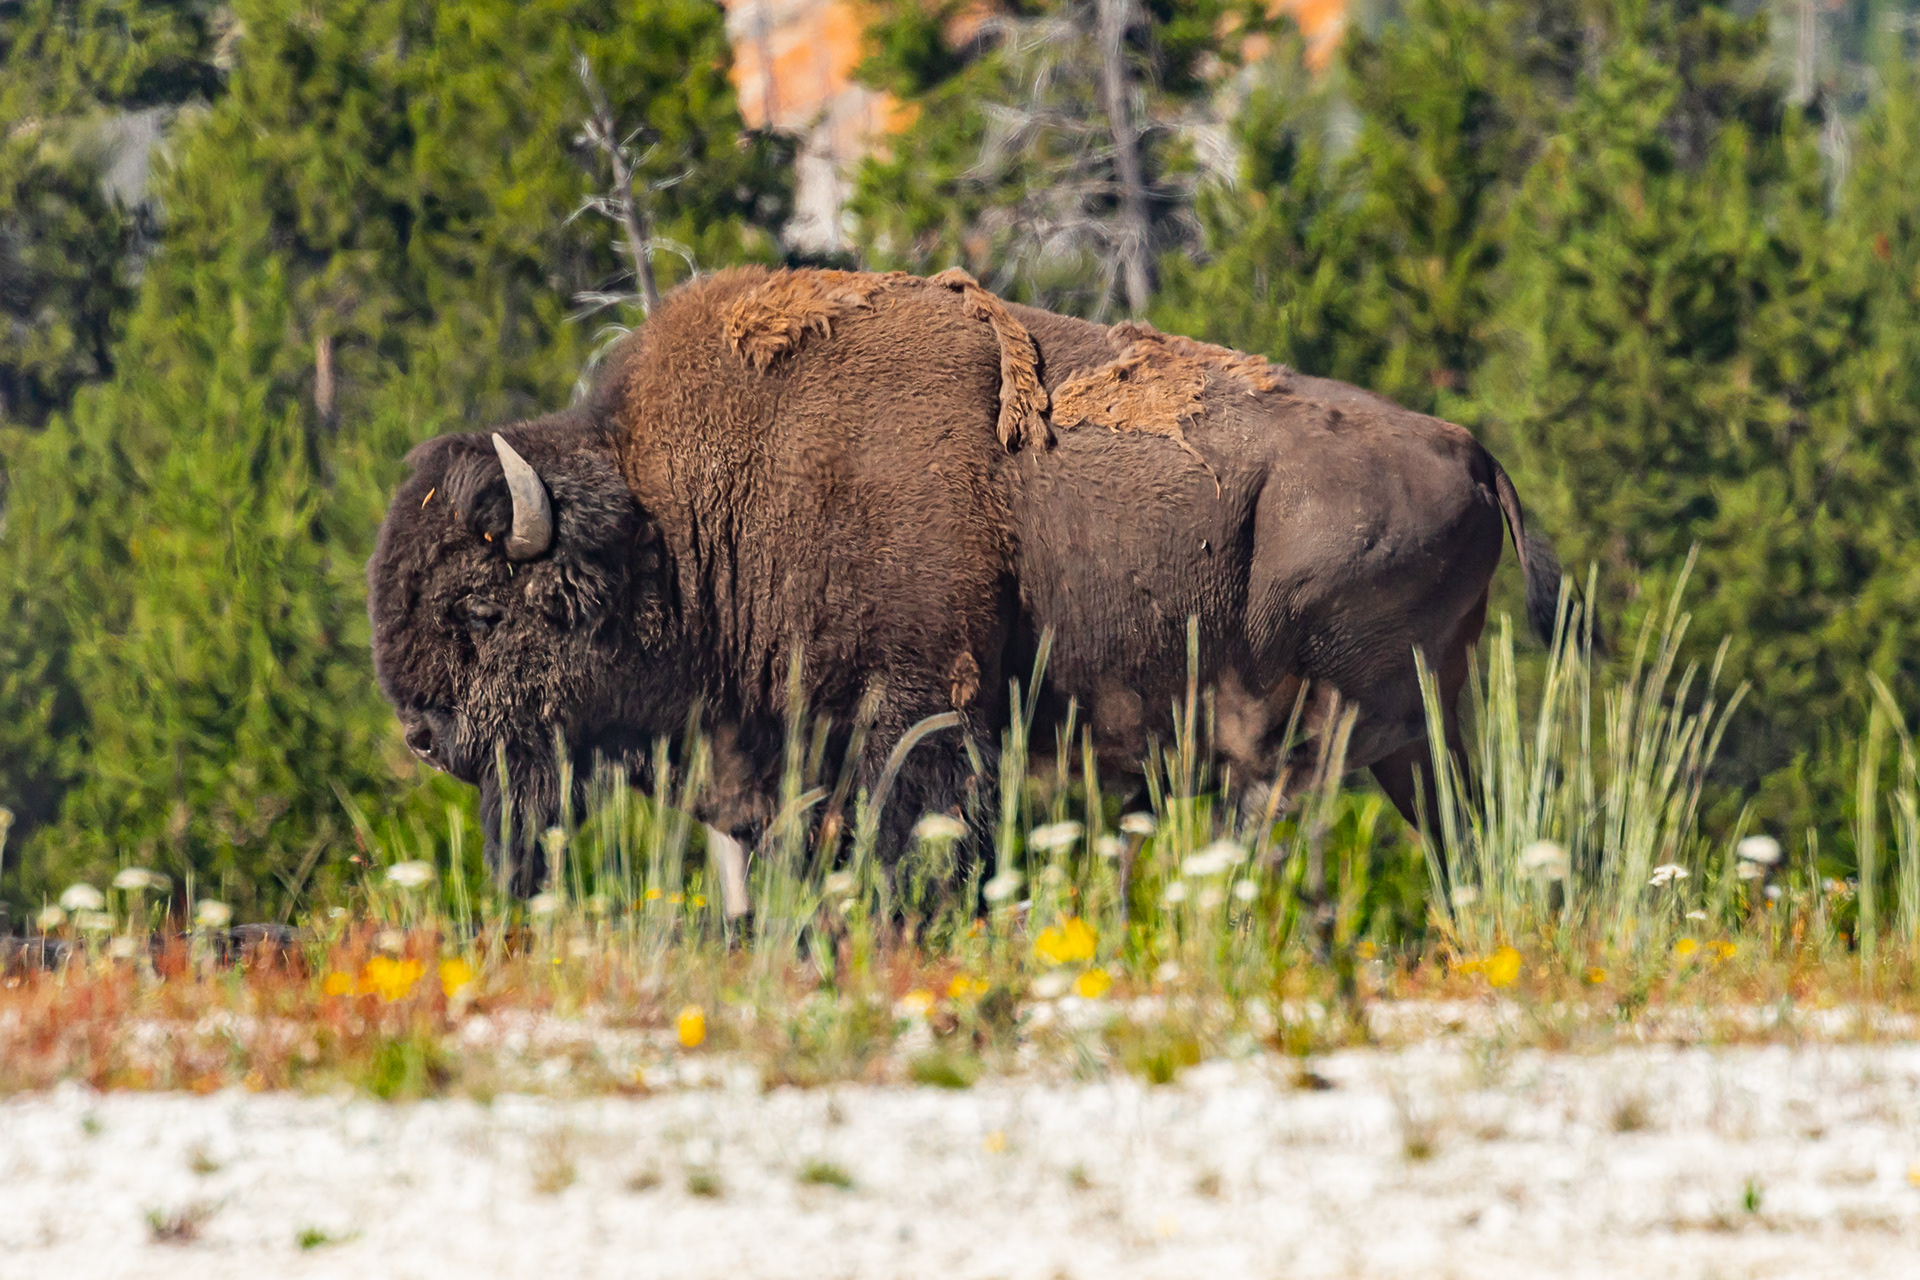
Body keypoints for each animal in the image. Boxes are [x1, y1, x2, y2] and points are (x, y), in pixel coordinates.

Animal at [367, 267, 1567, 897]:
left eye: (480, 607)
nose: (424, 735)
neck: (681, 517)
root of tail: (1470, 449)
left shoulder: (920, 700)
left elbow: (915, 823)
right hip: (1424, 728)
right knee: (1458, 818)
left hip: (1324, 723)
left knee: (1286, 811)